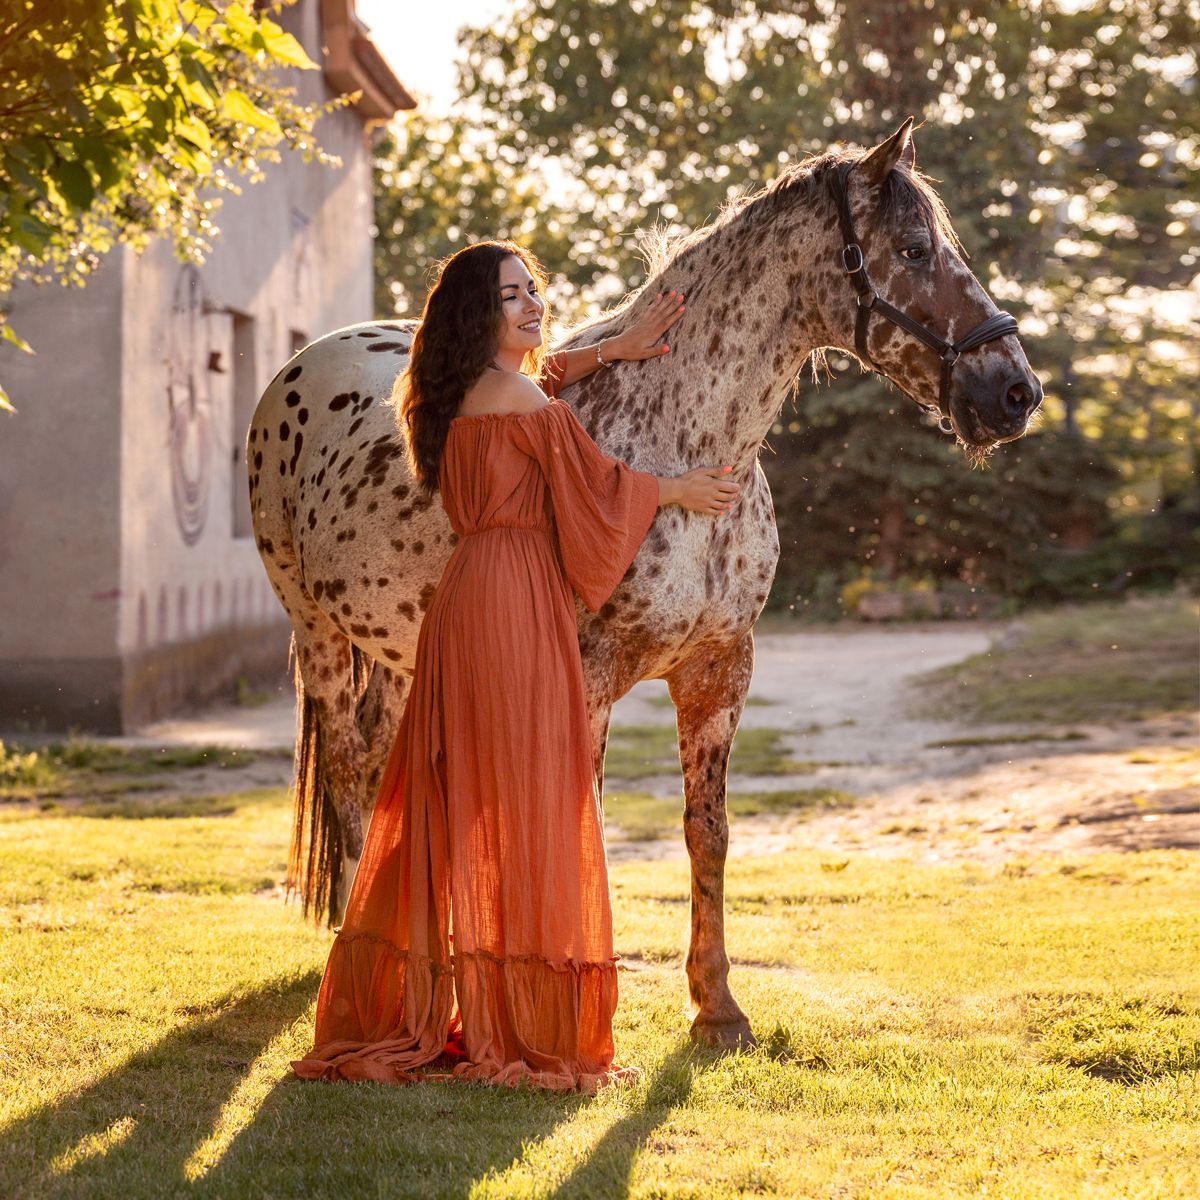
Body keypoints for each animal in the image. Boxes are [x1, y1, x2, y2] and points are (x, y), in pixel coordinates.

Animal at [248, 121, 1041, 1049]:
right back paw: (355, 948)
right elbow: (577, 830)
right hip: (318, 634)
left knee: (382, 770)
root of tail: (302, 366)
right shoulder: (587, 680)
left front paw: (716, 1005)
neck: (680, 445)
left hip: (403, 650)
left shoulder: (719, 671)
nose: (1016, 391)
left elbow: (707, 833)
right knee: (345, 768)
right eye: (914, 247)